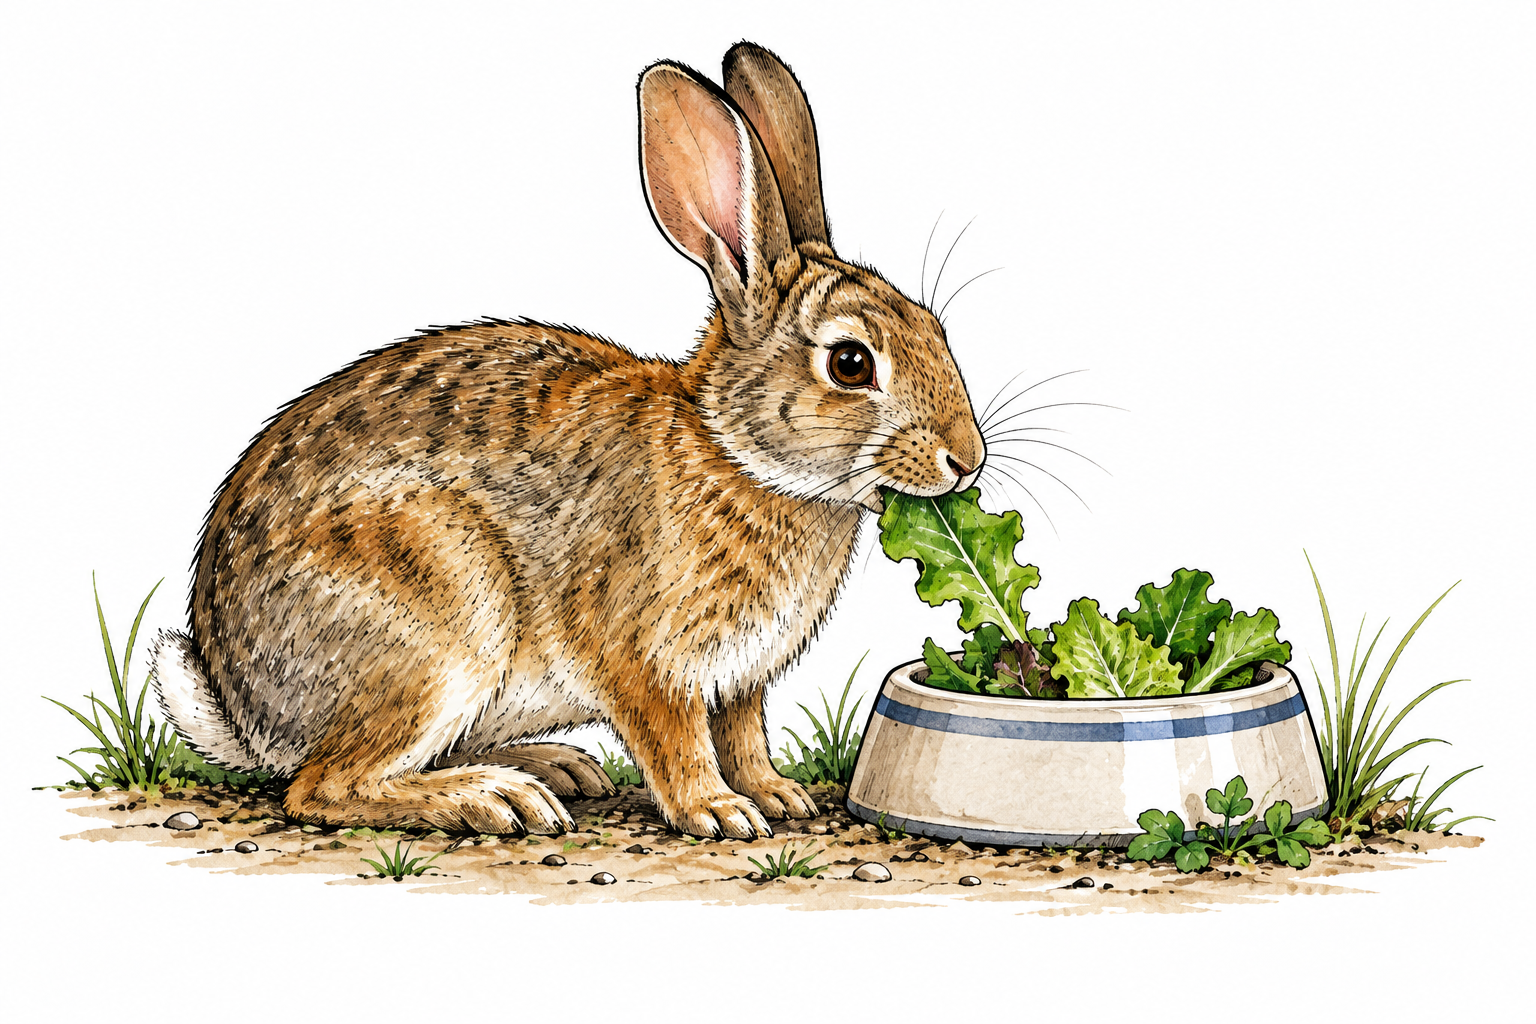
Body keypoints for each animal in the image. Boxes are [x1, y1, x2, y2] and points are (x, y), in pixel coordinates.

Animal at [150, 42, 986, 839]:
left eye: (934, 328)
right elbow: (678, 742)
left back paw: (550, 766)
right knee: (323, 786)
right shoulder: (646, 660)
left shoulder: (743, 678)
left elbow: (744, 735)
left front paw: (777, 795)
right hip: (439, 618)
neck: (733, 451)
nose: (966, 461)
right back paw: (495, 800)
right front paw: (718, 812)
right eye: (851, 363)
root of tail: (244, 708)